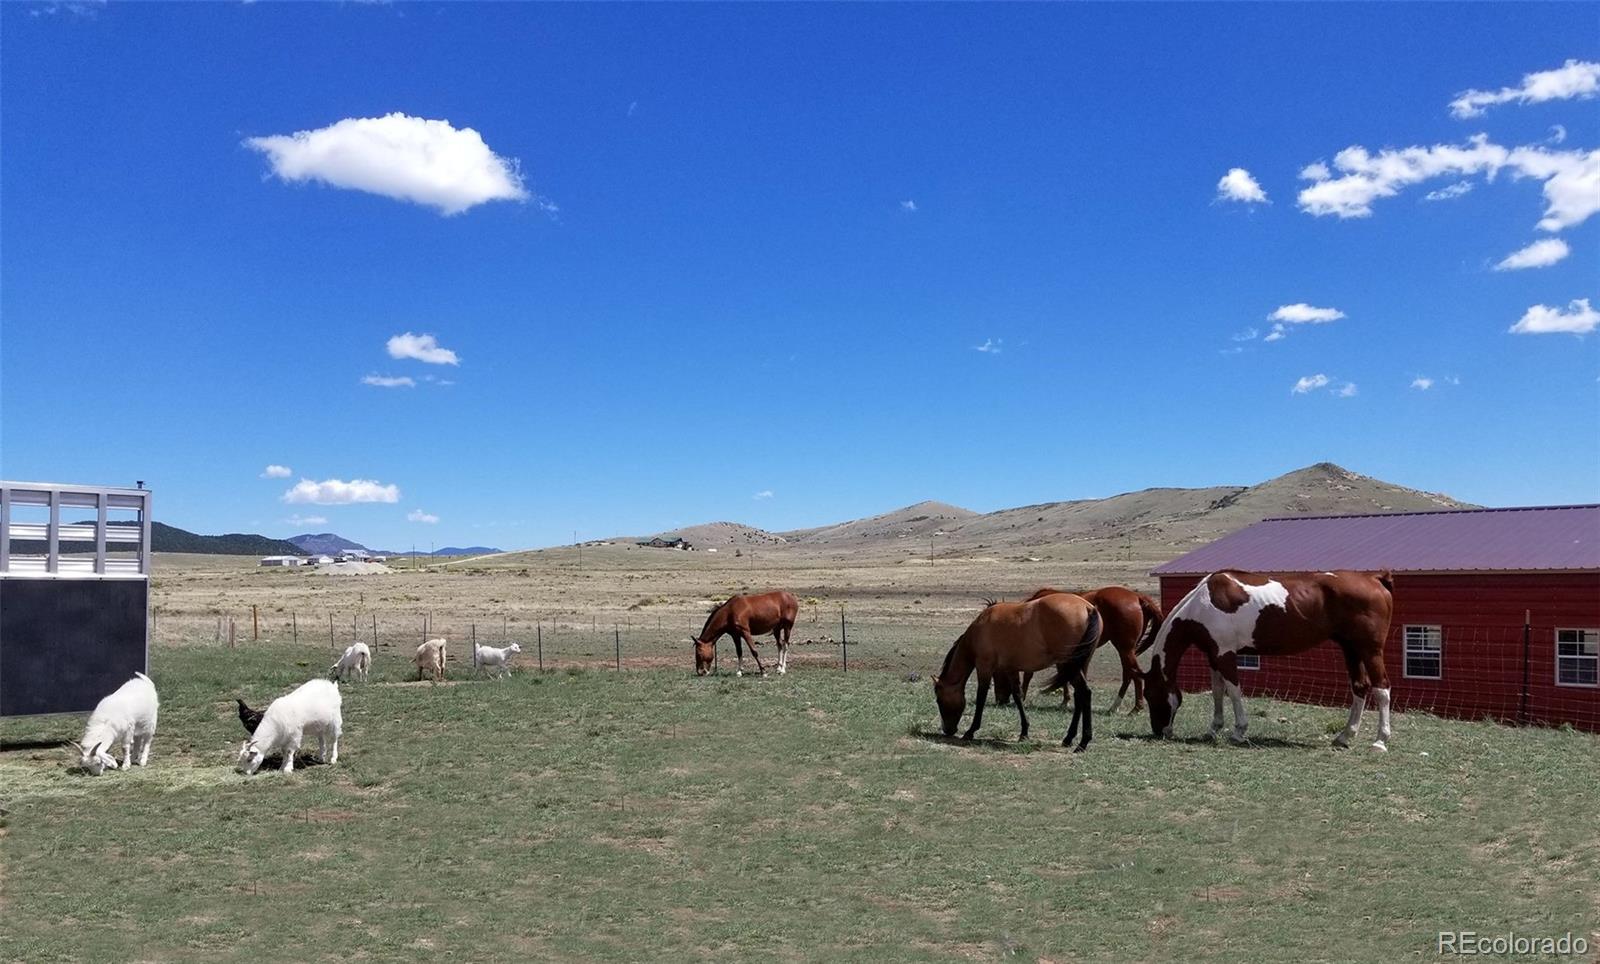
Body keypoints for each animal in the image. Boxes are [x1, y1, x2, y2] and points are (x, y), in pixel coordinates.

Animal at [934, 592, 1100, 749]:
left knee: (1085, 693)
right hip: (1078, 666)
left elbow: (981, 697)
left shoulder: (984, 667)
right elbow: (1017, 696)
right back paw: (1069, 738)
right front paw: (1024, 732)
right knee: (1080, 696)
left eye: (938, 699)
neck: (980, 629)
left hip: (1069, 665)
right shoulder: (1011, 669)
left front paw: (971, 731)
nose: (947, 730)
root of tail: (1088, 608)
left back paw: (1083, 743)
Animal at [1004, 582, 1171, 707]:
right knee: (1129, 673)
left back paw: (1134, 707)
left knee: (1134, 673)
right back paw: (1116, 706)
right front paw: (1066, 700)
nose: (1004, 700)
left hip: (1125, 648)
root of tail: (1137, 597)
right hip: (1127, 649)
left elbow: (1035, 673)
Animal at [1145, 566, 1395, 746]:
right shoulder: (1214, 655)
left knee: (1382, 689)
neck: (1202, 604)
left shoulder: (1225, 655)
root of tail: (1375, 579)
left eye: (1149, 695)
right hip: (1351, 648)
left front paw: (1238, 732)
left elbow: (1233, 692)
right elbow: (1217, 692)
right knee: (1359, 687)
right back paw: (1344, 737)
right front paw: (1213, 729)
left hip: (1370, 650)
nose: (1160, 731)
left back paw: (1380, 741)